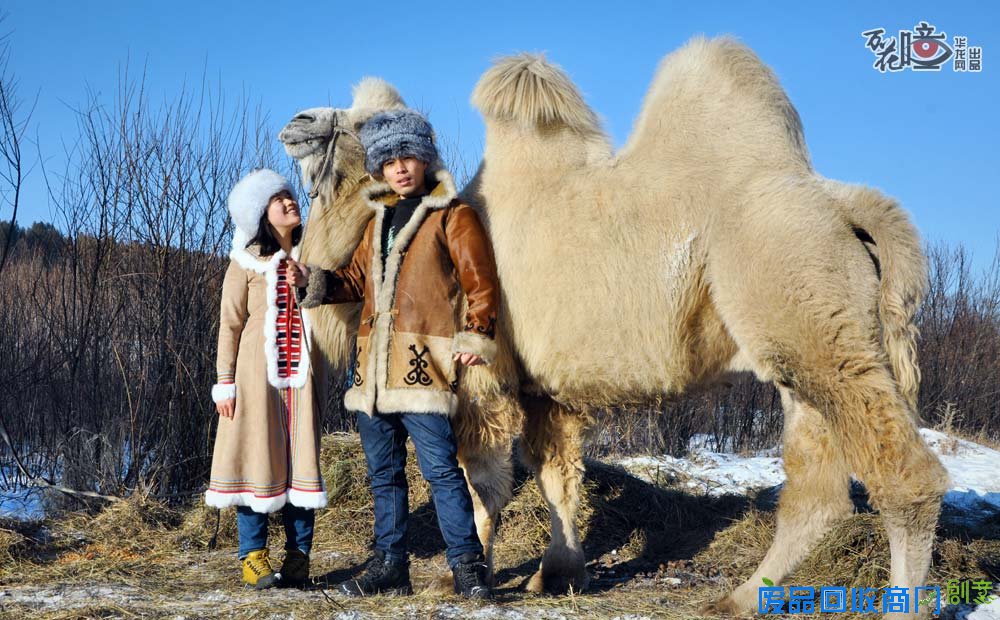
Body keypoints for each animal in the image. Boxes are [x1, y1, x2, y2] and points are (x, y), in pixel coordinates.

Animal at [280, 36, 944, 616]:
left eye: (366, 122)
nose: (297, 120)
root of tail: (847, 206)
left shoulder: (482, 372)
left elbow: (482, 479)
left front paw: (466, 574)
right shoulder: (544, 391)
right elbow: (556, 476)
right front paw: (557, 572)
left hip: (816, 325)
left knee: (905, 475)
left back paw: (900, 608)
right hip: (803, 356)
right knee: (817, 489)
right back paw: (738, 598)